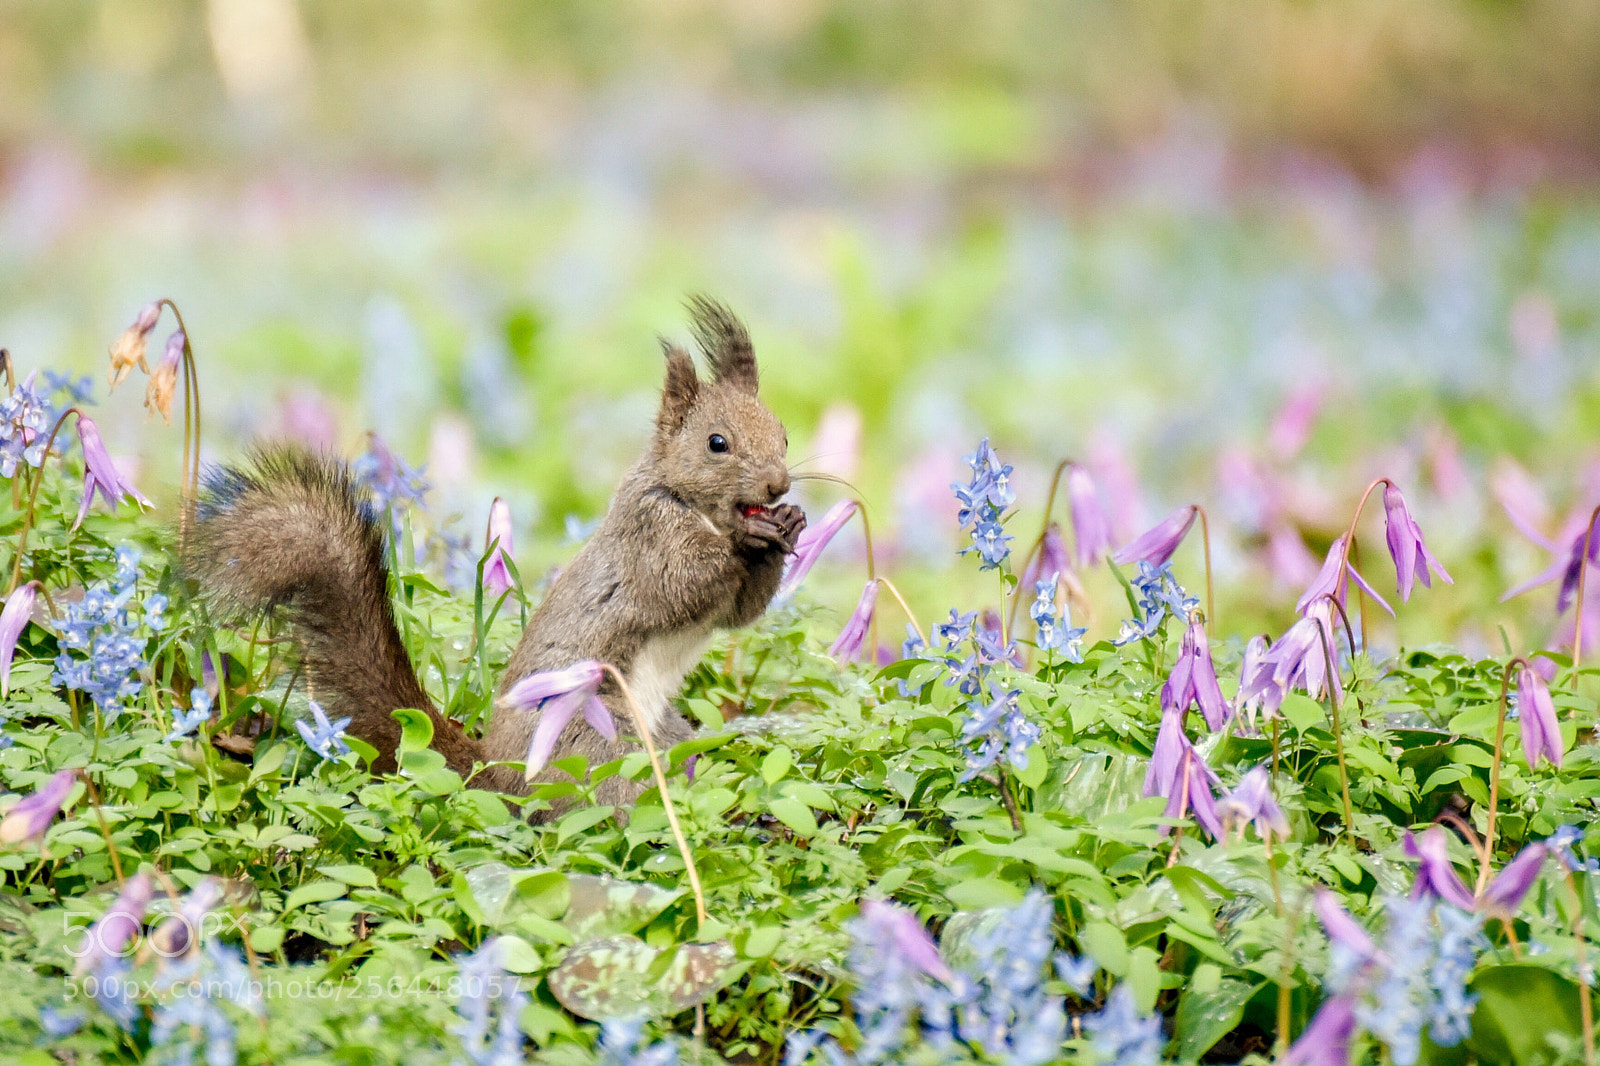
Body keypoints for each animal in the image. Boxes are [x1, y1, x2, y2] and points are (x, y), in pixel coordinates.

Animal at [185, 294, 806, 809]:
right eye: (717, 443)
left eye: (784, 435)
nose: (779, 486)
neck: (698, 507)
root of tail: (496, 774)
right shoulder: (647, 535)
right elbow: (683, 581)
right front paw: (747, 541)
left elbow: (739, 612)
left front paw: (790, 528)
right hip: (595, 738)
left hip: (665, 735)